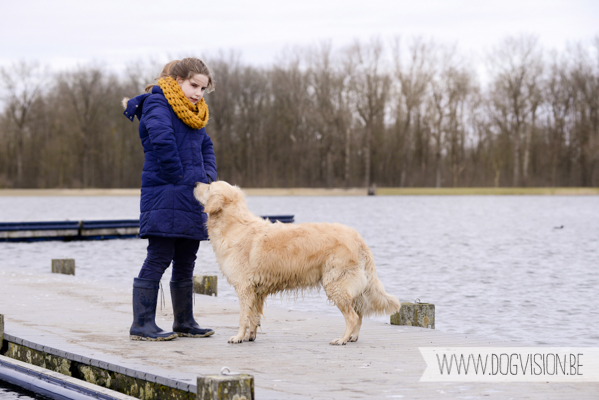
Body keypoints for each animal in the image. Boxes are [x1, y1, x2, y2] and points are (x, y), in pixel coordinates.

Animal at [195, 181, 400, 344]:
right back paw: (352, 337)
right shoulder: (256, 290)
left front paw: (238, 337)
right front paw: (249, 336)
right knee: (359, 314)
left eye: (209, 186)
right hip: (350, 286)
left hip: (335, 284)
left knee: (352, 316)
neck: (234, 225)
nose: (195, 183)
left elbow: (242, 317)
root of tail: (357, 237)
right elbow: (253, 316)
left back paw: (342, 339)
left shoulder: (244, 288)